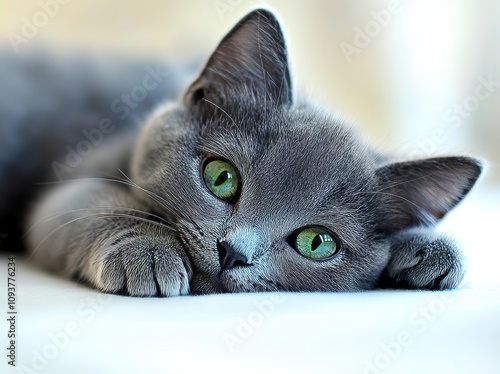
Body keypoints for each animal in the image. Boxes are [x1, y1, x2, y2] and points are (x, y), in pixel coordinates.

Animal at [18, 8, 480, 298]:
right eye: (221, 178)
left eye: (317, 242)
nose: (233, 252)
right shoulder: (75, 181)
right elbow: (88, 203)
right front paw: (147, 252)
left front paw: (429, 250)